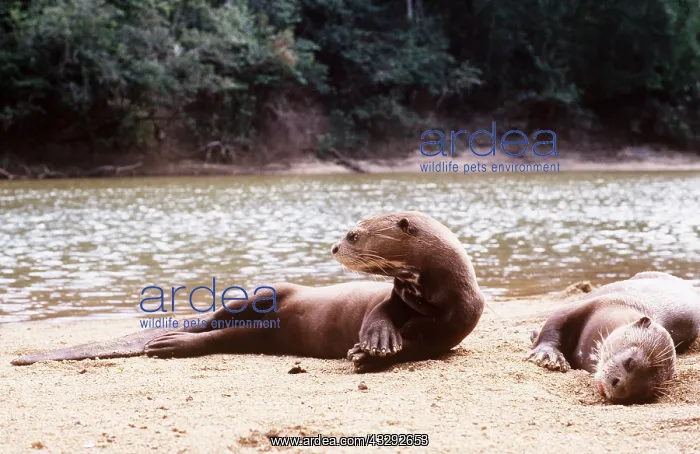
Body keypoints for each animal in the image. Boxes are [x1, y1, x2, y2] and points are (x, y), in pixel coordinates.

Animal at [11, 211, 486, 371]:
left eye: (353, 234)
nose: (334, 246)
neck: (438, 293)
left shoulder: (453, 325)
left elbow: (417, 344)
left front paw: (369, 355)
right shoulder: (392, 296)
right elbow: (378, 314)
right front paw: (377, 340)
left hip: (261, 333)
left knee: (220, 336)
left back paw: (168, 345)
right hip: (267, 291)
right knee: (211, 320)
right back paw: (165, 338)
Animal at [526, 271, 700, 404]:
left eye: (645, 392)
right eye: (630, 362)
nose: (621, 391)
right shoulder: (595, 303)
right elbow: (555, 322)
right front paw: (548, 356)